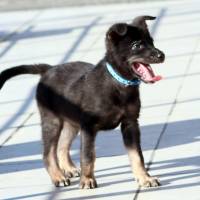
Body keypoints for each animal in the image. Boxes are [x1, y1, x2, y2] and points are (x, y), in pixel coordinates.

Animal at [0, 15, 164, 189]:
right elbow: (88, 155)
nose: (162, 55)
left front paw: (144, 178)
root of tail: (48, 70)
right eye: (137, 45)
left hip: (71, 123)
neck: (117, 83)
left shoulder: (130, 123)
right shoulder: (88, 127)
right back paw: (58, 176)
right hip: (52, 121)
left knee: (62, 146)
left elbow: (137, 155)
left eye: (152, 42)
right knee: (48, 153)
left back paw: (69, 169)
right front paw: (87, 180)